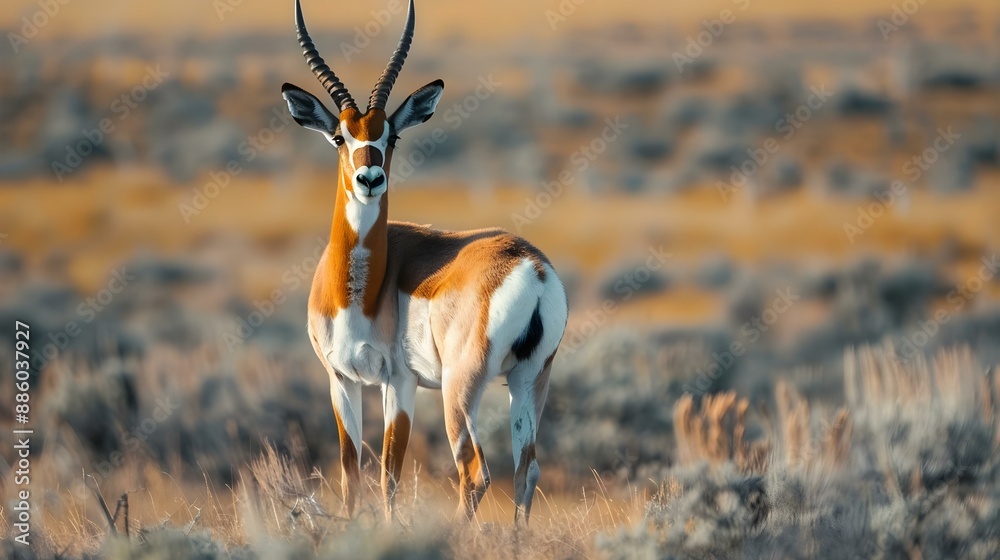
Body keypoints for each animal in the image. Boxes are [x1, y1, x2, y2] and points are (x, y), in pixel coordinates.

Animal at [281, 0, 568, 523]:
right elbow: (353, 475)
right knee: (527, 471)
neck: (360, 291)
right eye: (340, 137)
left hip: (461, 387)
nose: (370, 178)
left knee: (475, 472)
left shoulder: (398, 382)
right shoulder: (342, 379)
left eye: (391, 137)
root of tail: (532, 267)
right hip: (529, 380)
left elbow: (386, 474)